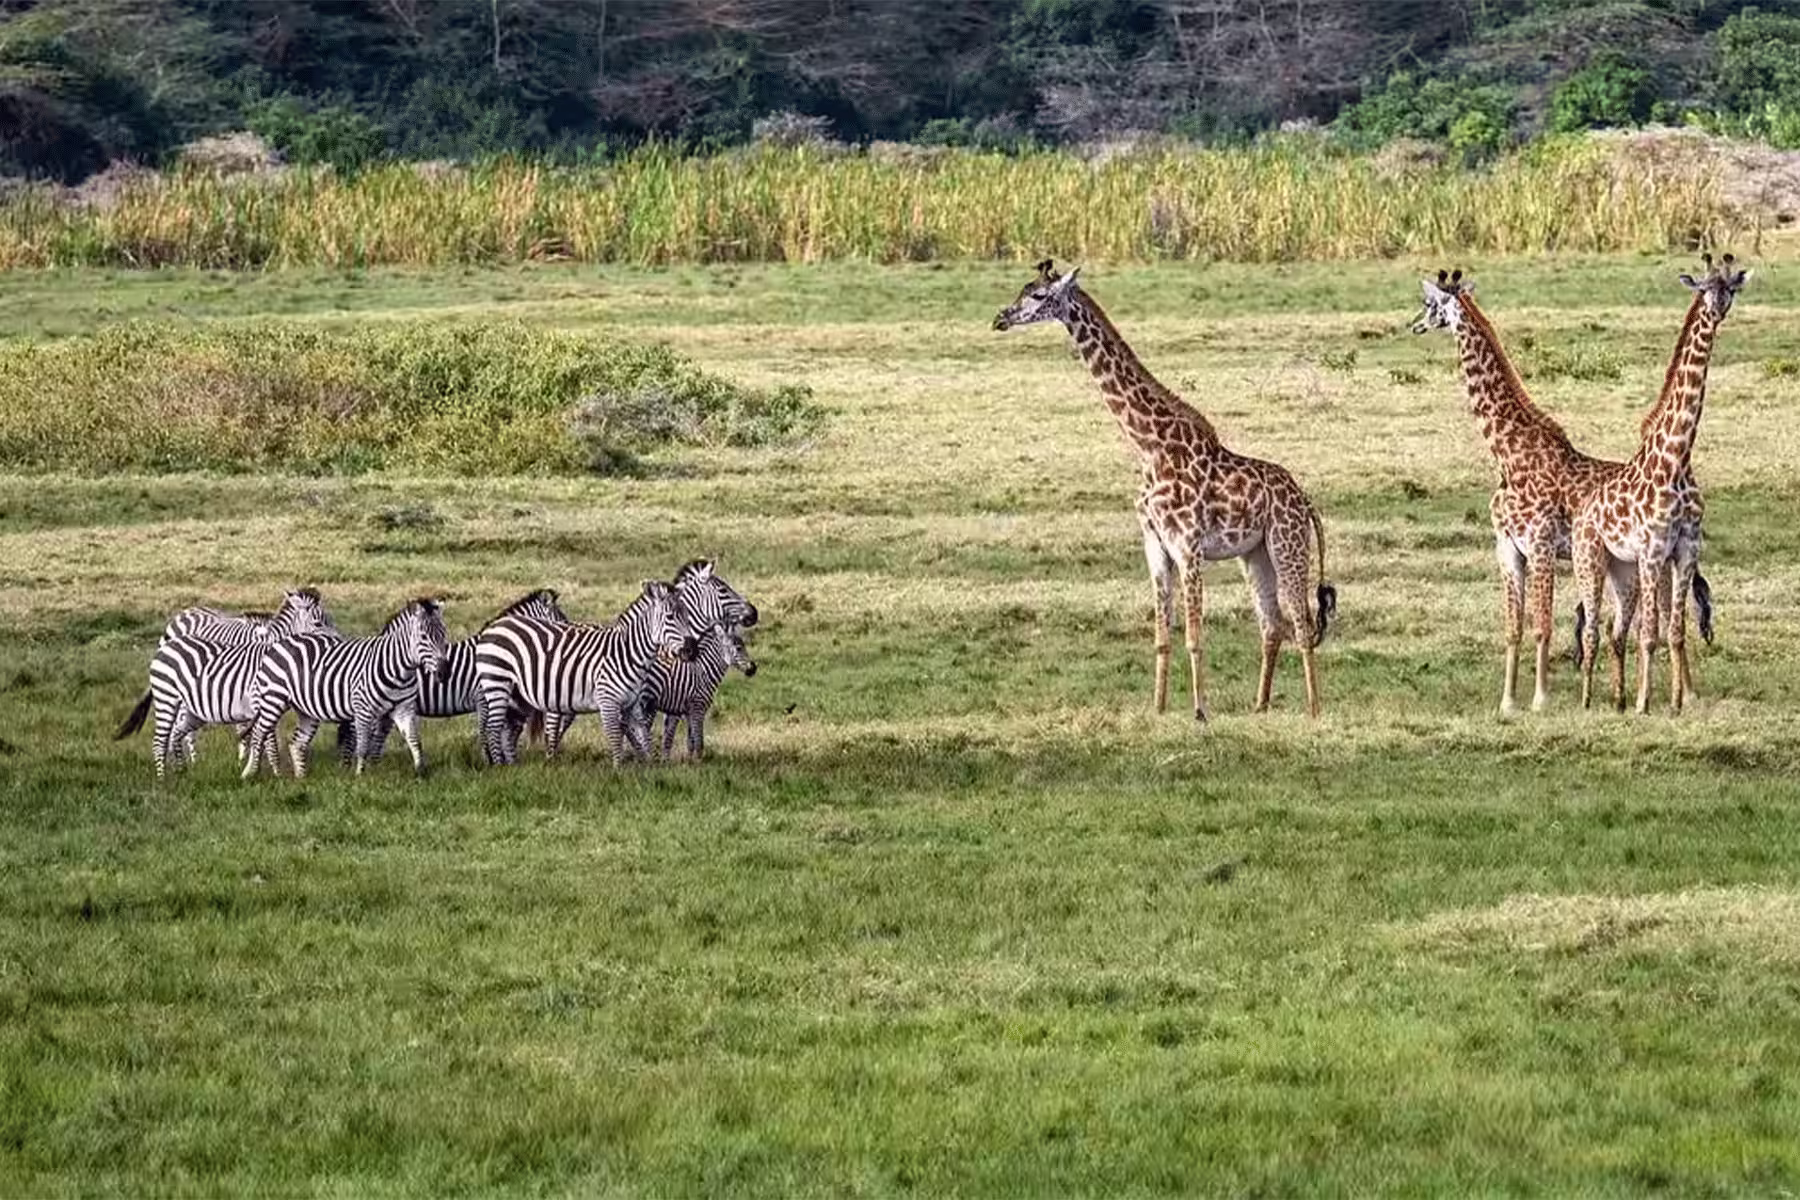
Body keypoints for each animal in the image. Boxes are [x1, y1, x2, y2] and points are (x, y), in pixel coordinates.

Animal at [115, 589, 339, 780]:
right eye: (318, 623)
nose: (339, 642)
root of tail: (181, 616)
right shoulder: (257, 701)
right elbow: (268, 740)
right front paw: (272, 772)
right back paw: (179, 768)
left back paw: (182, 765)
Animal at [241, 598, 451, 780]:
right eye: (424, 637)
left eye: (444, 635)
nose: (444, 673)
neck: (398, 669)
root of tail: (280, 643)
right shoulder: (363, 709)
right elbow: (363, 745)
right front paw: (360, 776)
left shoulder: (404, 709)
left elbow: (415, 741)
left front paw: (420, 772)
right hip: (273, 698)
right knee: (258, 733)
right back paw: (249, 773)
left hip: (306, 711)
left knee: (296, 743)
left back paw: (301, 777)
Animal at [335, 587, 570, 766]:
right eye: (561, 620)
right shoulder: (482, 698)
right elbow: (486, 731)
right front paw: (490, 762)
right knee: (356, 732)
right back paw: (349, 765)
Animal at [475, 580, 699, 766]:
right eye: (670, 617)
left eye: (687, 616)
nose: (692, 650)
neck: (628, 653)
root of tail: (493, 626)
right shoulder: (608, 701)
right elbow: (616, 739)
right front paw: (619, 773)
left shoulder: (632, 704)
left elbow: (645, 738)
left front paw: (650, 769)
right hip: (497, 683)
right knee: (493, 728)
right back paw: (500, 767)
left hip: (517, 696)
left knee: (507, 730)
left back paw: (513, 766)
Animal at [627, 624, 757, 761]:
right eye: (738, 648)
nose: (753, 668)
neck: (702, 671)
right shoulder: (698, 707)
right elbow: (699, 738)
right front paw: (699, 760)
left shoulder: (688, 711)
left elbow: (691, 740)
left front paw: (690, 760)